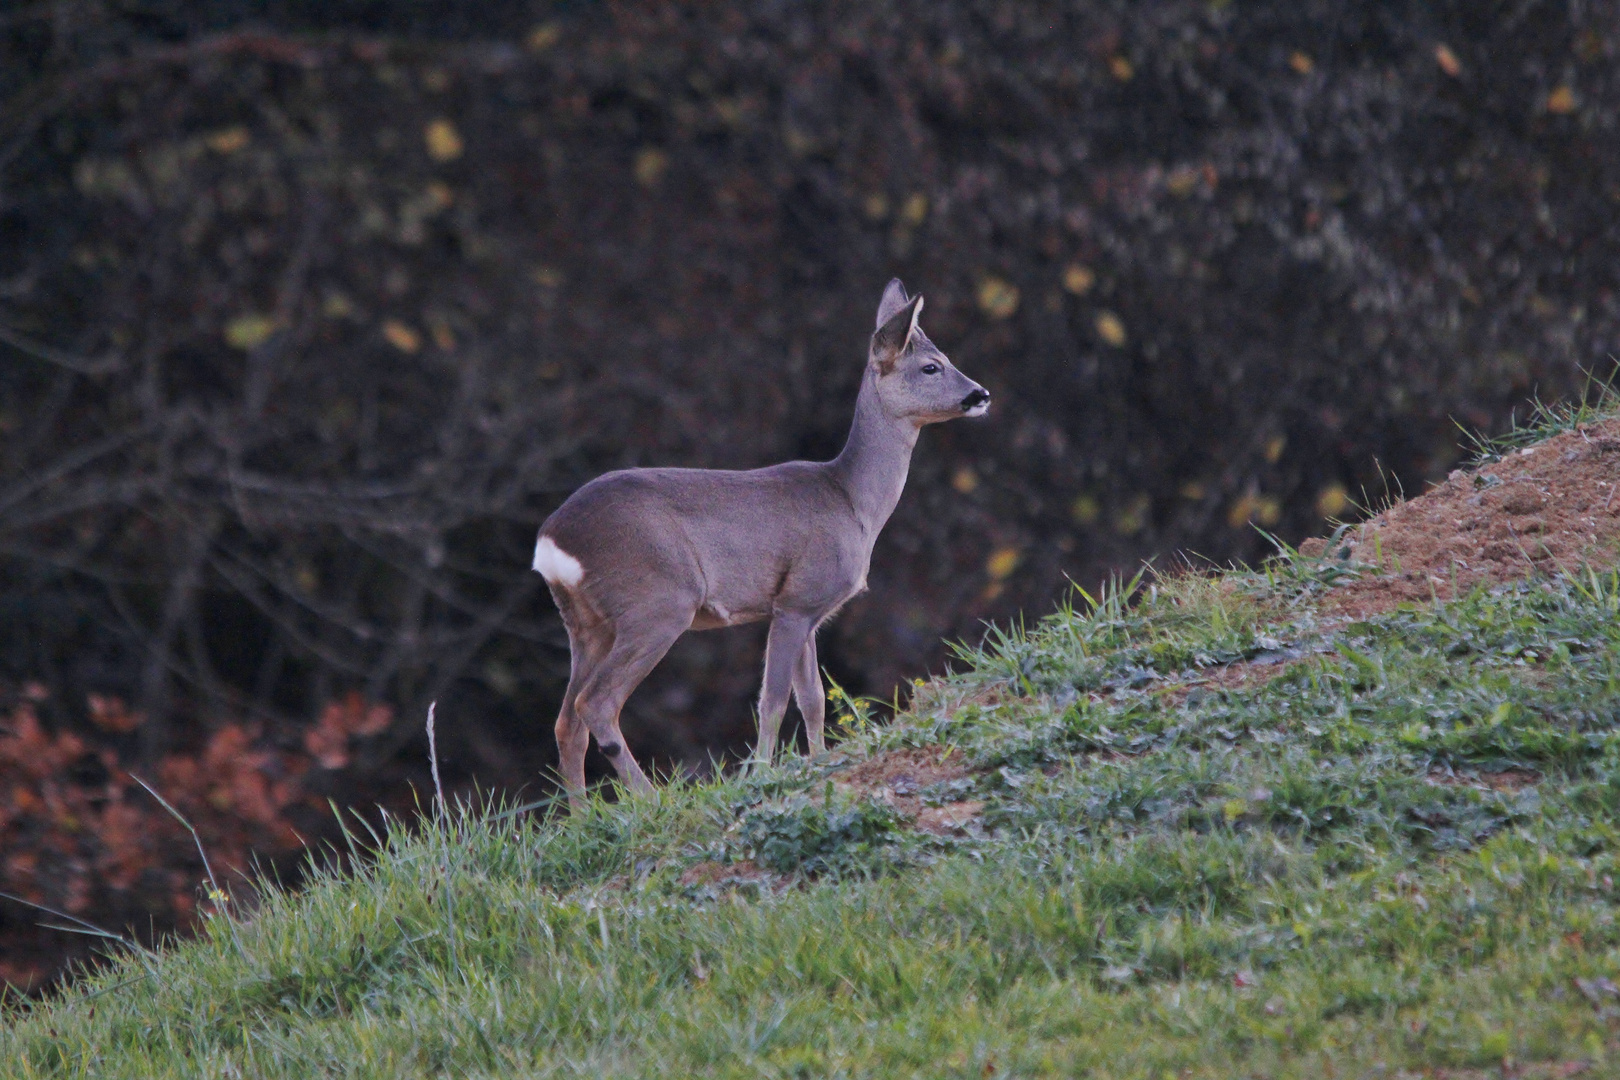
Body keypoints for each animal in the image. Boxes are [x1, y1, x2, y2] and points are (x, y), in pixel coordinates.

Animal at [534, 278, 984, 803]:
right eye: (931, 366)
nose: (980, 394)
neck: (852, 501)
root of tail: (552, 539)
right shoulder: (795, 600)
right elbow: (773, 700)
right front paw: (763, 774)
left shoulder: (810, 613)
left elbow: (813, 698)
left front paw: (818, 761)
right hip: (658, 602)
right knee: (597, 703)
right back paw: (648, 798)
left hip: (587, 625)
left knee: (566, 721)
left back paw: (583, 813)